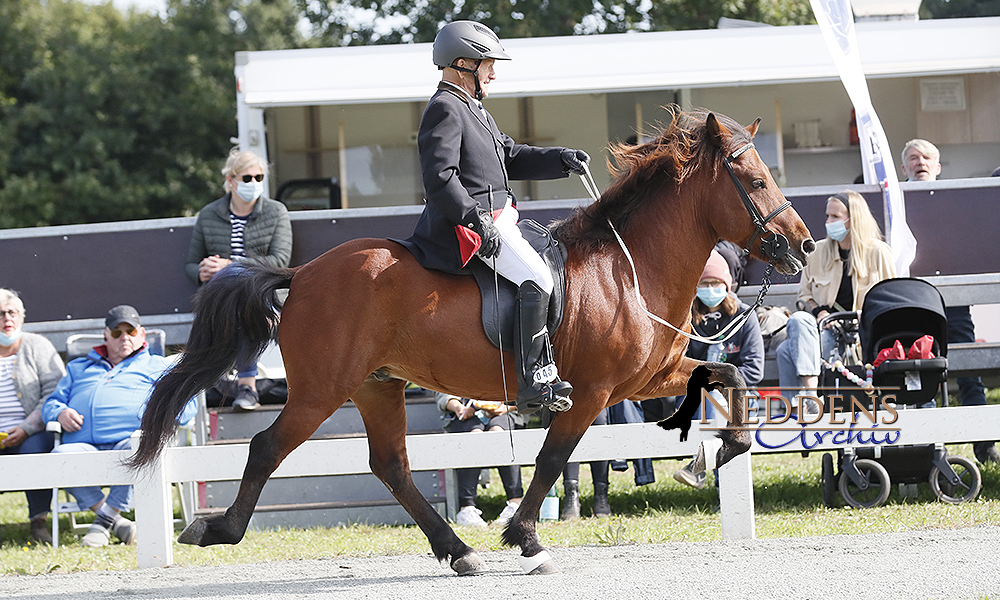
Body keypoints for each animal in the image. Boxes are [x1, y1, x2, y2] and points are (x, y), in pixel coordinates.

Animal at [127, 109, 812, 576]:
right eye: (754, 179)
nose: (803, 247)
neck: (629, 267)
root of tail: (301, 274)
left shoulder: (645, 380)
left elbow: (733, 378)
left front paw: (720, 451)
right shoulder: (590, 393)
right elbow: (552, 460)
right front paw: (527, 540)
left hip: (377, 387)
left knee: (391, 466)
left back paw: (457, 551)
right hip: (321, 390)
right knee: (269, 447)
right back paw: (217, 530)